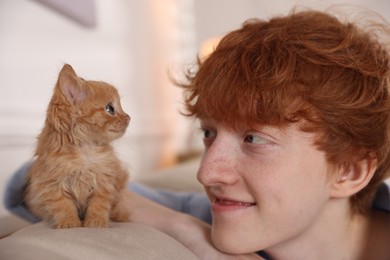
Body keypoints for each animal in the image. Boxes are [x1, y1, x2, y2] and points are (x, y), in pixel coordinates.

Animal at [25, 64, 131, 229]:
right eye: (110, 109)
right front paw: (69, 223)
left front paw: (96, 222)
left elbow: (99, 206)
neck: (85, 151)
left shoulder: (105, 182)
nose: (128, 117)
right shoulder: (51, 185)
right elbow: (63, 206)